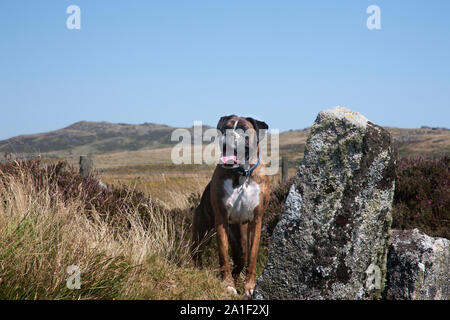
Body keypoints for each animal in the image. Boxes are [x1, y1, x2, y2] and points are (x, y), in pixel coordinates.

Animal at [191, 115, 268, 298]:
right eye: (225, 128)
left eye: (243, 129)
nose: (228, 137)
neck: (241, 175)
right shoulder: (221, 220)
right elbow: (223, 255)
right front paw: (227, 285)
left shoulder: (256, 221)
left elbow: (252, 257)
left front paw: (249, 287)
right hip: (202, 233)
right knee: (196, 254)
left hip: (240, 241)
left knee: (241, 259)